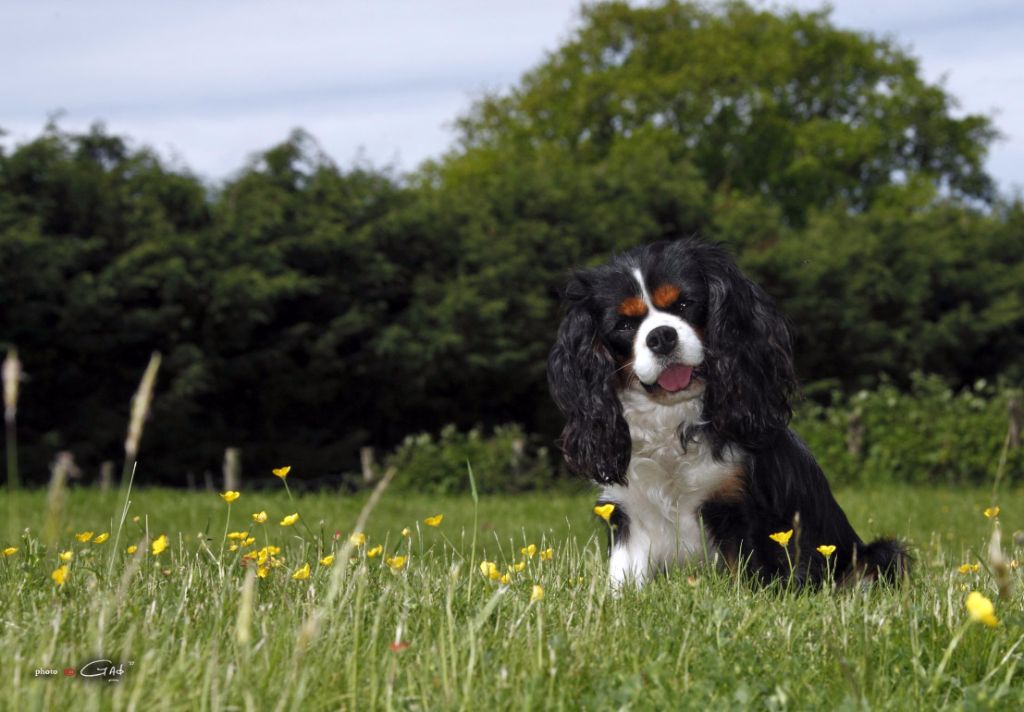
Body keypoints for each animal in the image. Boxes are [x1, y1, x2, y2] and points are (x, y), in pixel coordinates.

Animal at [548, 236, 909, 585]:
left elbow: (748, 579)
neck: (671, 419)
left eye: (685, 304)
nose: (661, 336)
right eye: (624, 325)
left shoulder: (741, 511)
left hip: (880, 554)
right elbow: (622, 582)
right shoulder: (628, 515)